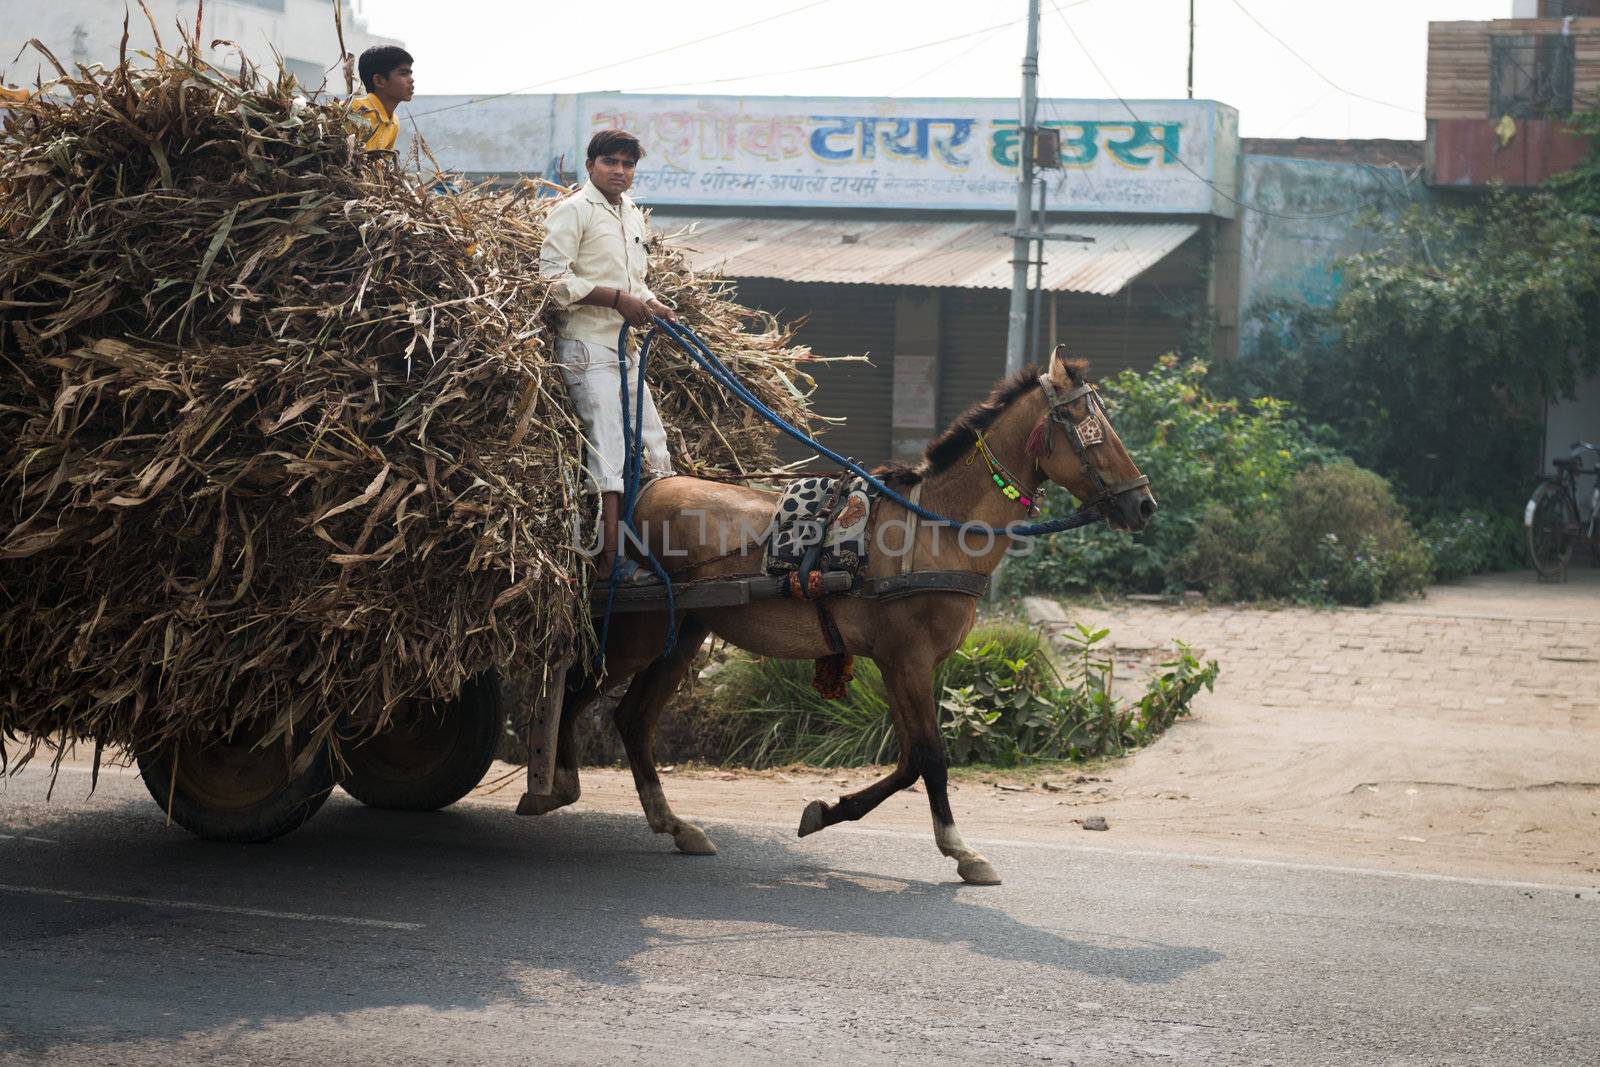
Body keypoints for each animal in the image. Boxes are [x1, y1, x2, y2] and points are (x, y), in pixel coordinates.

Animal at [531, 350, 1158, 883]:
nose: (1144, 504)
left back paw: (674, 825)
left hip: (680, 633)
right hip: (634, 633)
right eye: (1086, 425)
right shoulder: (909, 659)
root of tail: (639, 493)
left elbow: (909, 760)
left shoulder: (898, 663)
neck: (938, 530)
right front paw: (961, 850)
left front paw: (827, 812)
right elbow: (930, 756)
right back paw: (551, 789)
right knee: (578, 692)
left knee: (633, 719)